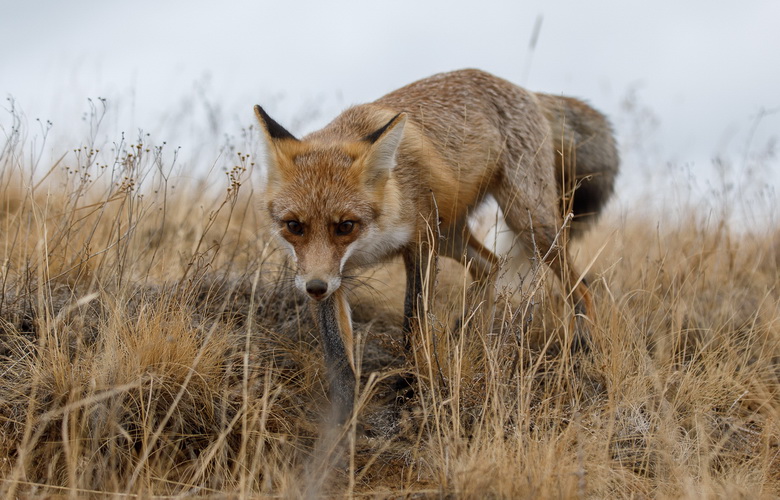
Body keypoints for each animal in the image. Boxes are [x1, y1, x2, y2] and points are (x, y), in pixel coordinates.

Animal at [253, 69, 620, 422]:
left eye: (345, 226)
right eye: (294, 226)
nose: (314, 288)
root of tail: (523, 90)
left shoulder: (421, 242)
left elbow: (413, 324)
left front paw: (414, 388)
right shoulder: (328, 272)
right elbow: (338, 356)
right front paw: (342, 421)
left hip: (529, 222)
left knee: (583, 285)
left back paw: (585, 345)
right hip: (453, 237)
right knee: (490, 266)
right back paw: (467, 336)